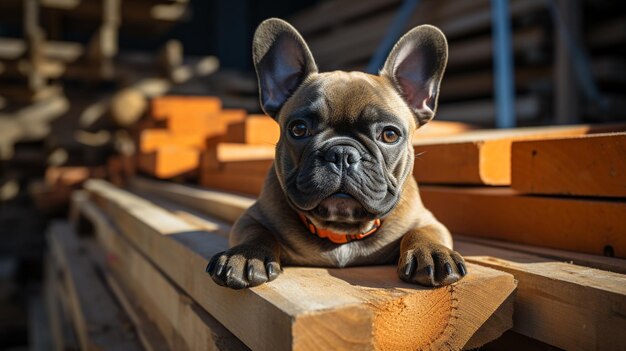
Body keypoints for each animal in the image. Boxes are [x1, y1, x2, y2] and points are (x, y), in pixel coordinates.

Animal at [205, 17, 464, 290]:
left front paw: (433, 254)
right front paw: (245, 256)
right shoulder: (252, 217)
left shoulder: (427, 220)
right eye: (299, 129)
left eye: (389, 135)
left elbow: (422, 231)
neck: (342, 230)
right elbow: (257, 232)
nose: (342, 153)